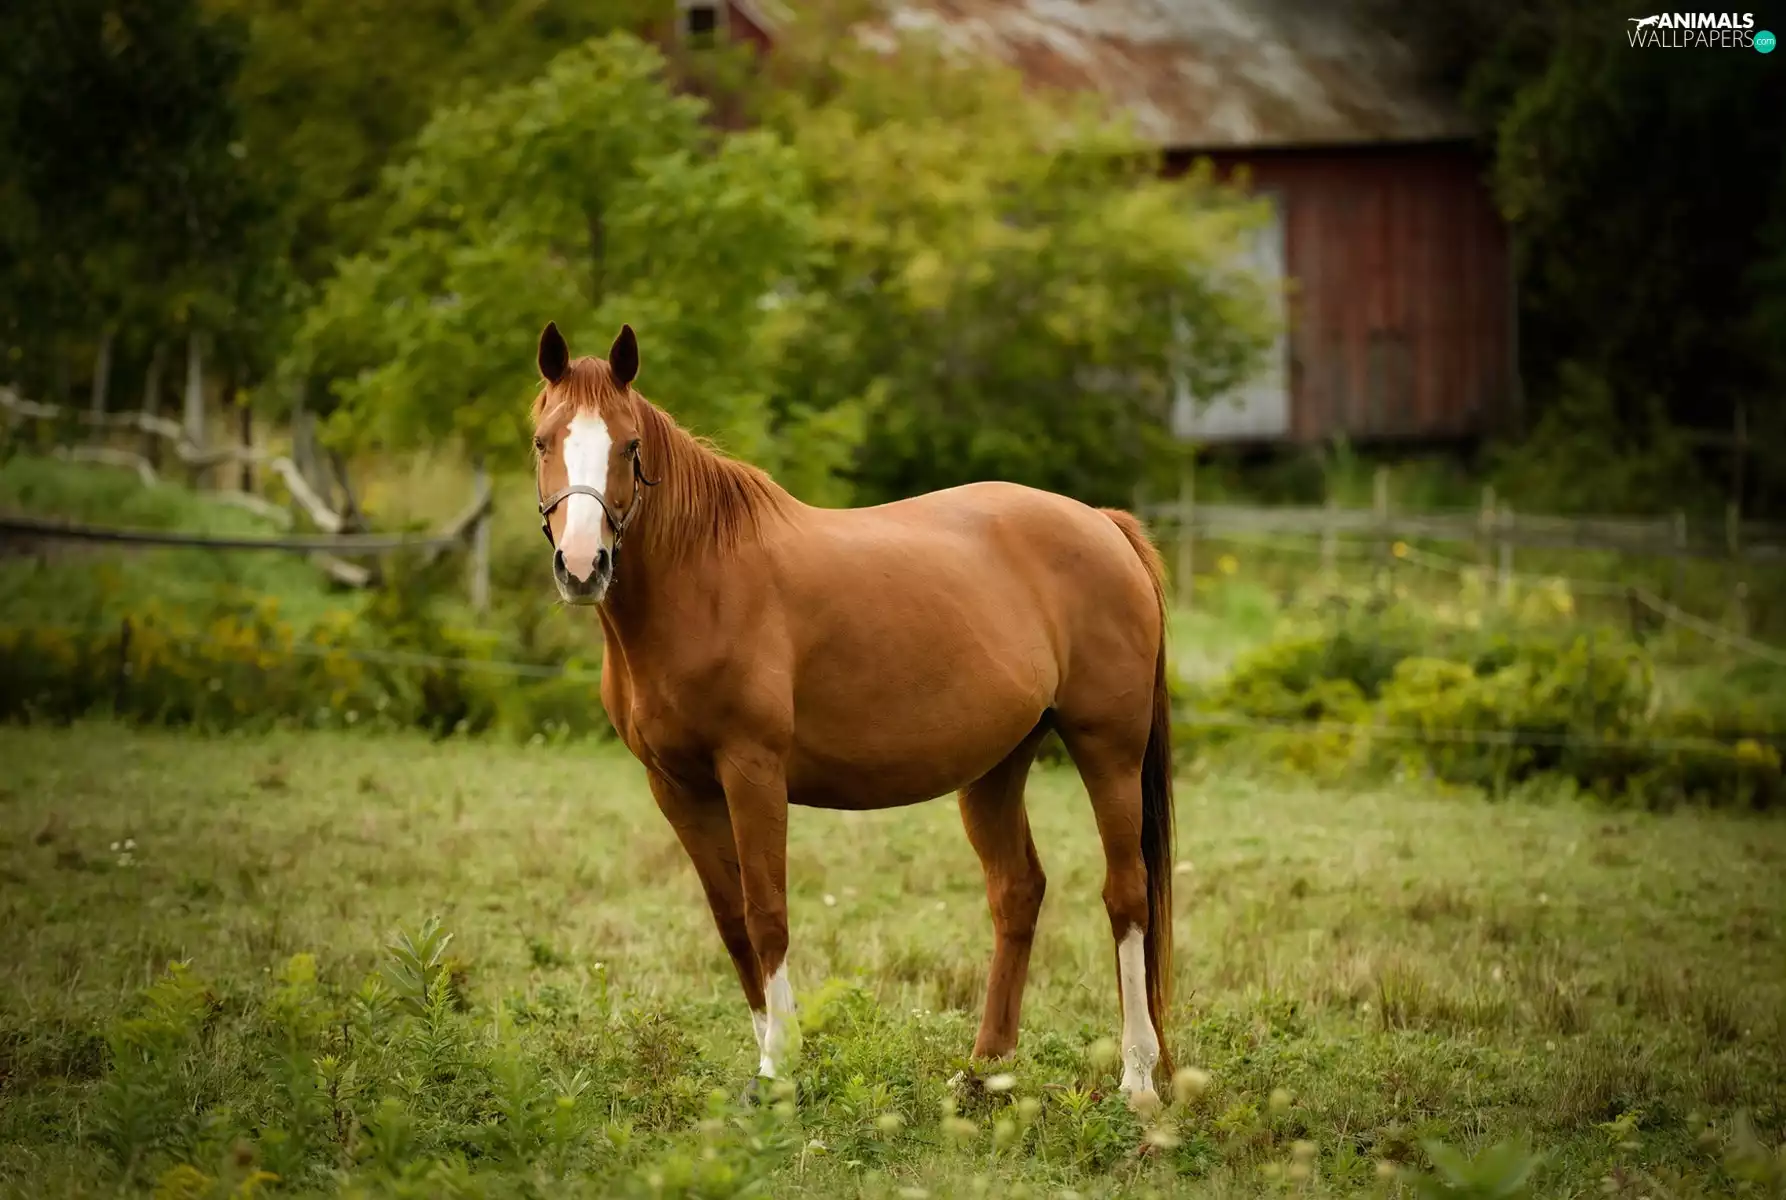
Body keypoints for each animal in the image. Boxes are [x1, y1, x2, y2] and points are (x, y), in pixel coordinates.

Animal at [529, 321, 1176, 1105]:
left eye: (628, 445)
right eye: (542, 441)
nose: (582, 566)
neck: (702, 579)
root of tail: (1104, 526)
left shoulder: (752, 772)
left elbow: (767, 914)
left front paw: (778, 1069)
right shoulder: (676, 787)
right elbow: (731, 920)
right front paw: (766, 1058)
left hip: (1108, 749)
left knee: (1128, 896)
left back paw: (1137, 1079)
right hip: (998, 765)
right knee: (1017, 892)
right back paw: (983, 1073)